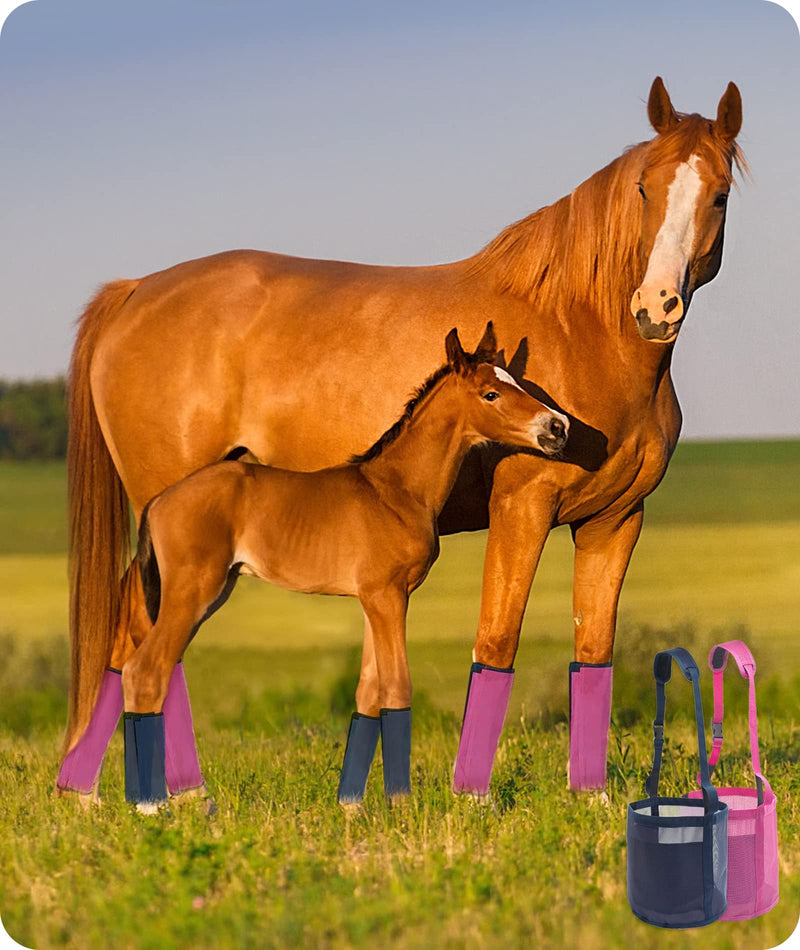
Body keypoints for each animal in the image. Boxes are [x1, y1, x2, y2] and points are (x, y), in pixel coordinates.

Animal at [119, 324, 568, 810]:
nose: (557, 427)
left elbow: (368, 692)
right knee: (145, 671)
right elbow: (396, 687)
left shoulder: (375, 600)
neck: (396, 490)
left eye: (516, 382)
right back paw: (150, 805)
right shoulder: (387, 596)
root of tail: (159, 501)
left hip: (211, 594)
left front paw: (352, 806)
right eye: (490, 393)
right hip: (192, 592)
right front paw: (401, 804)